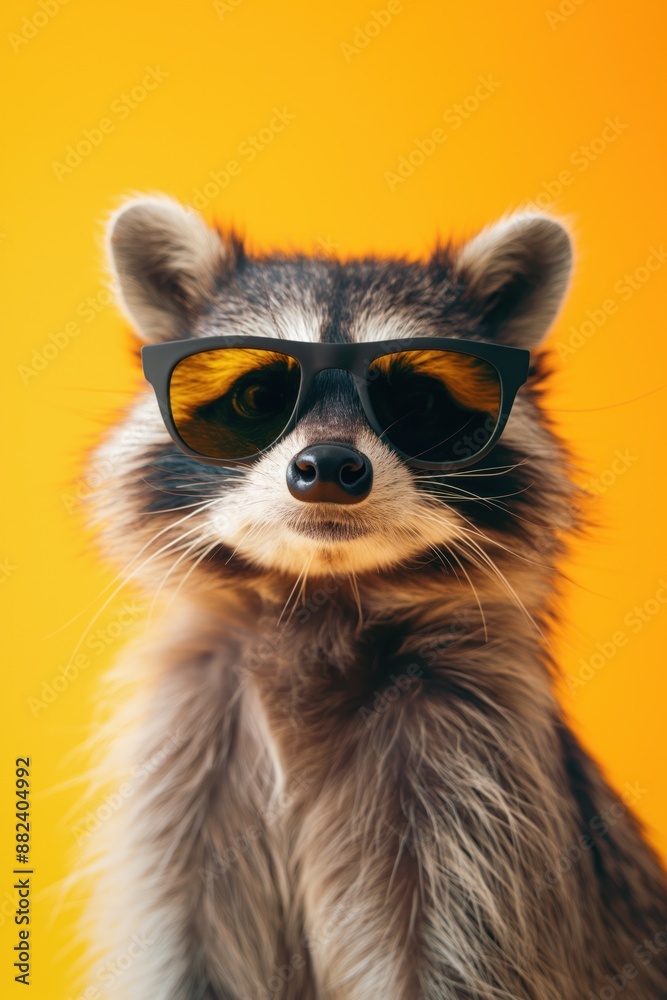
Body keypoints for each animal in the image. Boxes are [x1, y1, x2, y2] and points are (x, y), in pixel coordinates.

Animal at [84, 196, 667, 1000]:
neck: (322, 596)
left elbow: (461, 958)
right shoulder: (187, 768)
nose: (328, 466)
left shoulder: (476, 779)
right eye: (258, 397)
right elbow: (179, 951)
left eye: (416, 400)